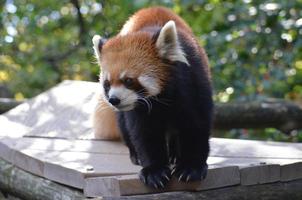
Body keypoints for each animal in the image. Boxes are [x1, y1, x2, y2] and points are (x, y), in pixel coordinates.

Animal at [92, 6, 212, 189]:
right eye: (107, 84)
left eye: (128, 80)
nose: (114, 100)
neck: (162, 98)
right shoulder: (139, 108)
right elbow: (144, 134)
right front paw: (154, 171)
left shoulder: (193, 84)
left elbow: (196, 125)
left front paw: (191, 166)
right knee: (123, 125)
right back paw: (135, 155)